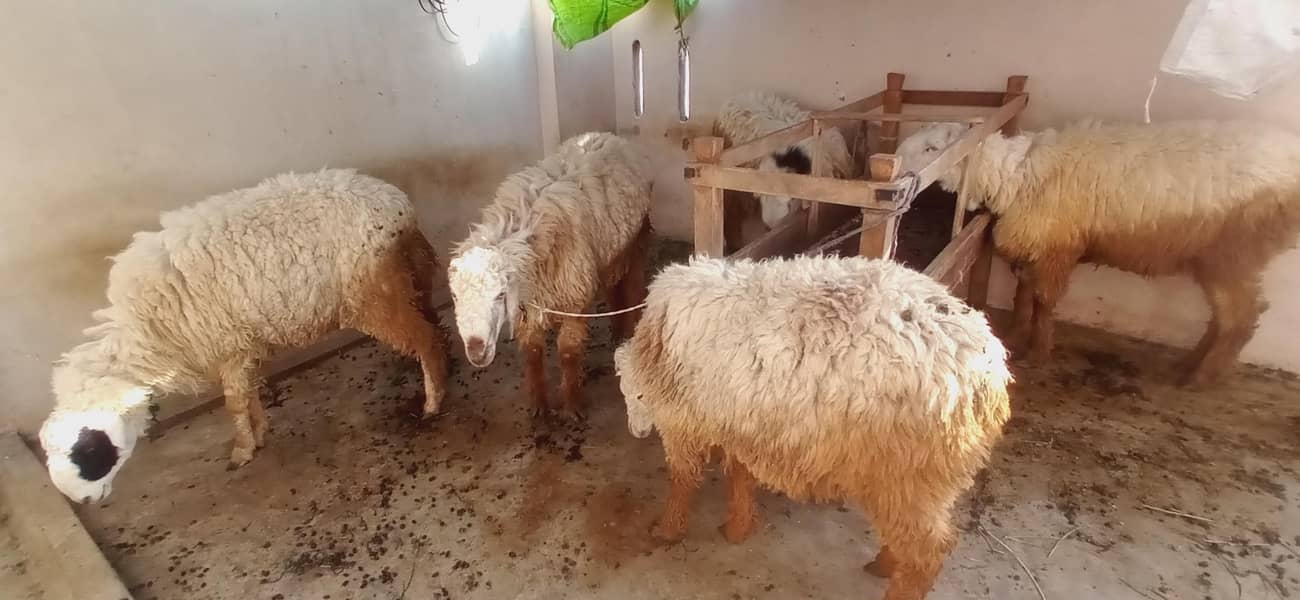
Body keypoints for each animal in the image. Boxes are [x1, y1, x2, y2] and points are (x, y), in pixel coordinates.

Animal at [38, 169, 451, 503]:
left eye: (87, 450)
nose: (82, 501)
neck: (146, 333)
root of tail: (397, 204)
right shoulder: (241, 345)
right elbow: (248, 393)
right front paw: (259, 432)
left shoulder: (227, 346)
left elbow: (234, 403)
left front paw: (242, 450)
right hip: (407, 277)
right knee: (432, 325)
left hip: (373, 295)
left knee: (425, 339)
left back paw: (432, 402)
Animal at [448, 132, 653, 418]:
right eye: (455, 297)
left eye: (500, 294)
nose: (476, 351)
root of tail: (607, 135)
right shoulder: (529, 302)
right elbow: (533, 352)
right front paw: (538, 405)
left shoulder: (575, 300)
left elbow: (568, 353)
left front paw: (572, 405)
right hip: (608, 255)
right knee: (614, 287)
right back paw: (616, 331)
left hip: (635, 242)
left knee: (634, 285)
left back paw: (630, 330)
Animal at [614, 255, 1012, 600]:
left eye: (636, 395)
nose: (636, 432)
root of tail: (990, 377)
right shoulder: (741, 420)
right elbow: (740, 474)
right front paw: (739, 526)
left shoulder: (684, 422)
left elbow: (682, 480)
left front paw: (667, 529)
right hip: (916, 480)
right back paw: (885, 564)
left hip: (909, 473)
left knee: (927, 553)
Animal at [897, 120, 1300, 386]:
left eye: (933, 148)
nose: (895, 161)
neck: (1014, 176)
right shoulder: (1037, 246)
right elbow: (1023, 294)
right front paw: (1015, 331)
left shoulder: (1056, 247)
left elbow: (1043, 301)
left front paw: (1038, 352)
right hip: (1218, 257)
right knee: (1225, 315)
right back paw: (1191, 364)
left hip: (1235, 251)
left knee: (1242, 315)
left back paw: (1201, 375)